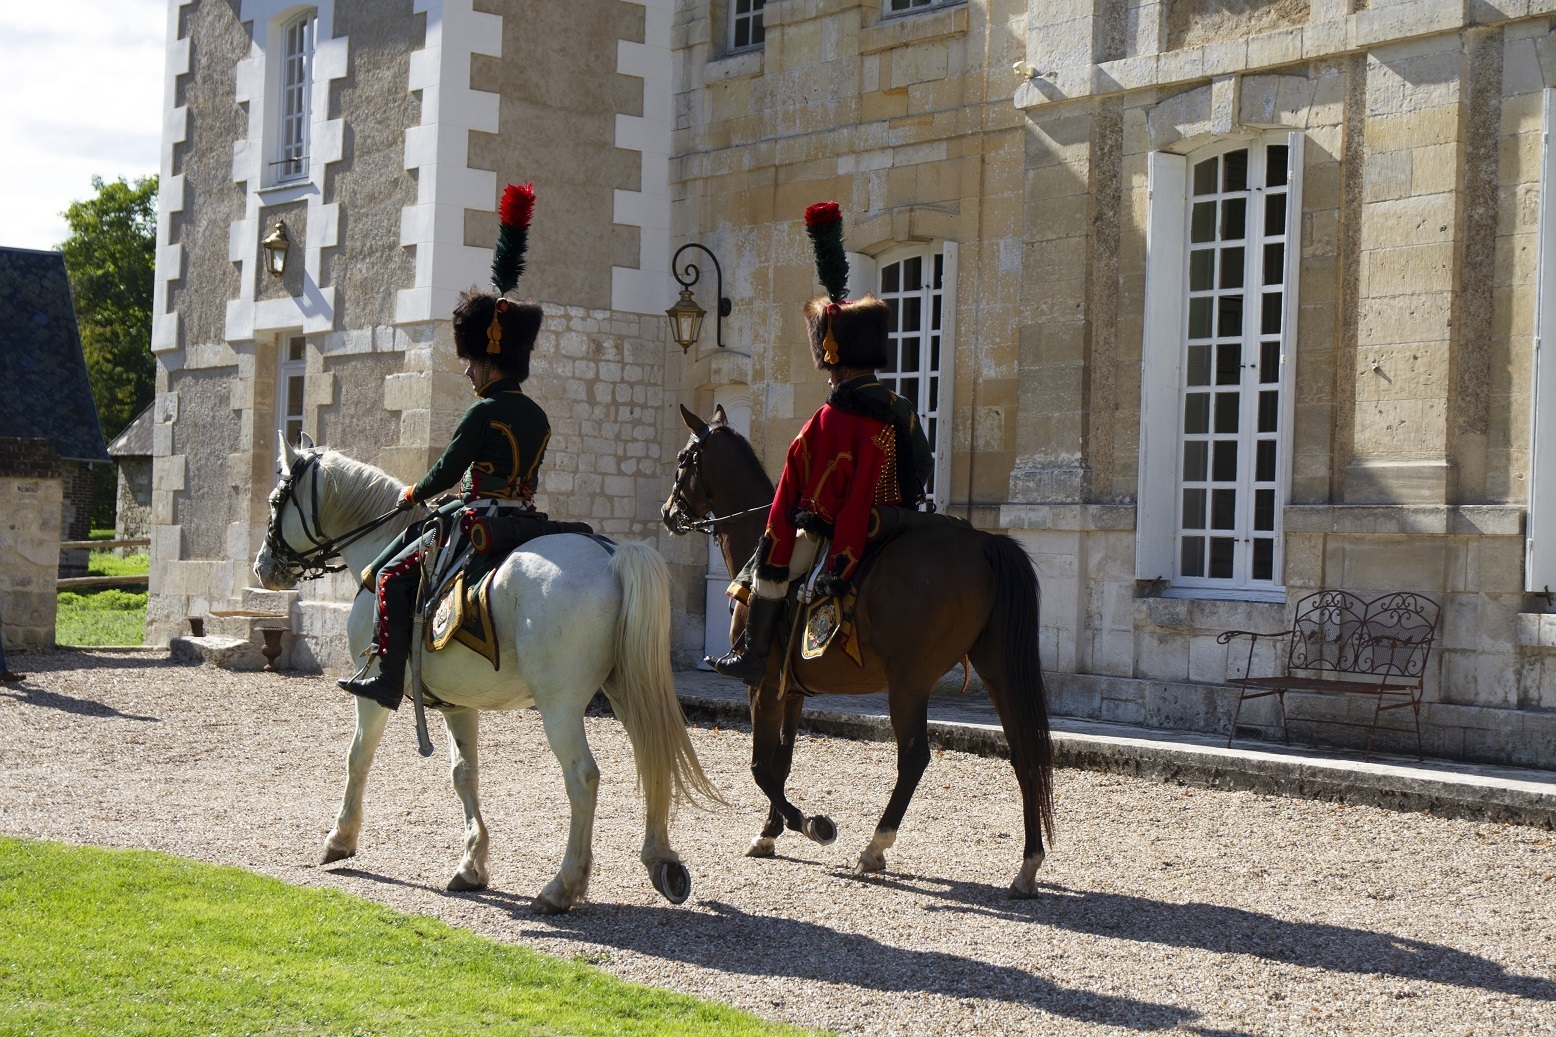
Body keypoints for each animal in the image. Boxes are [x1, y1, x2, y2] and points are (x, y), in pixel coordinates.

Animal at [252, 432, 718, 909]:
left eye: (274, 500)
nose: (263, 567)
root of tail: (611, 557)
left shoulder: (373, 692)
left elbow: (357, 757)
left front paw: (340, 839)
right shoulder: (458, 703)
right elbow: (464, 774)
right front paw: (471, 864)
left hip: (560, 706)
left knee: (583, 776)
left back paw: (563, 885)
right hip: (625, 691)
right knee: (652, 758)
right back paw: (662, 861)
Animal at [662, 401, 1051, 890]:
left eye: (683, 459)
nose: (667, 512)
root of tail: (984, 544)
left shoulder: (760, 684)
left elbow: (761, 767)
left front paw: (809, 824)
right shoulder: (790, 690)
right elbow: (781, 762)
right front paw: (769, 831)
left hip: (909, 683)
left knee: (914, 758)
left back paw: (875, 847)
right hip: (996, 671)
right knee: (1023, 752)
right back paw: (1028, 865)